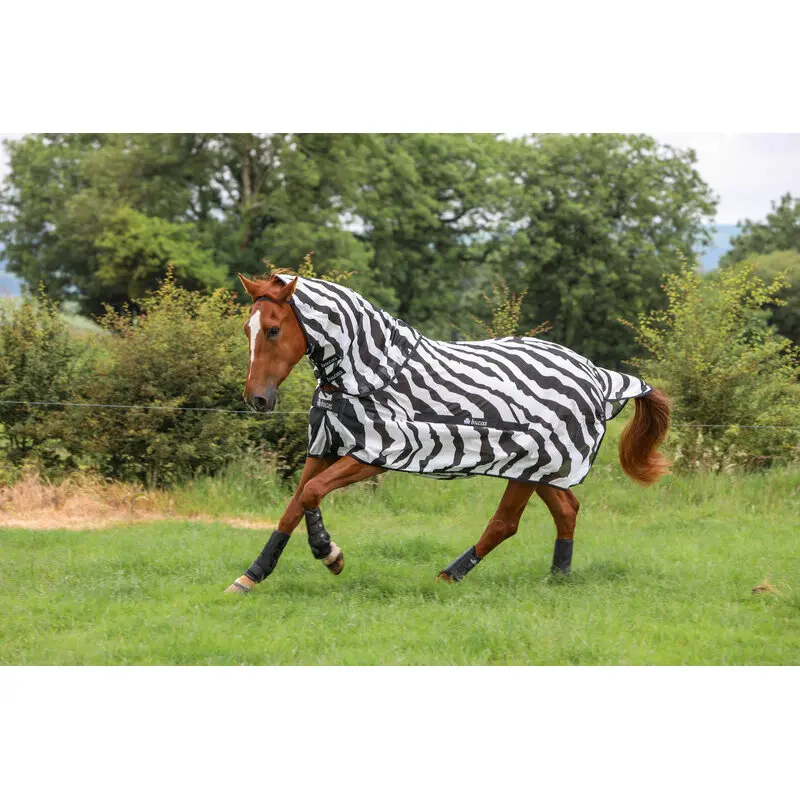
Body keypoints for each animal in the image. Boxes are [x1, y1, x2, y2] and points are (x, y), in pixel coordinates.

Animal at [225, 271, 671, 594]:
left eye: (273, 330)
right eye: (247, 330)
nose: (257, 399)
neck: (369, 373)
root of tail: (598, 375)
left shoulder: (378, 452)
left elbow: (312, 494)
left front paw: (329, 554)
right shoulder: (325, 446)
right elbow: (293, 506)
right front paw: (251, 575)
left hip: (531, 463)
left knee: (505, 523)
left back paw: (449, 576)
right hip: (541, 469)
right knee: (566, 509)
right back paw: (557, 577)